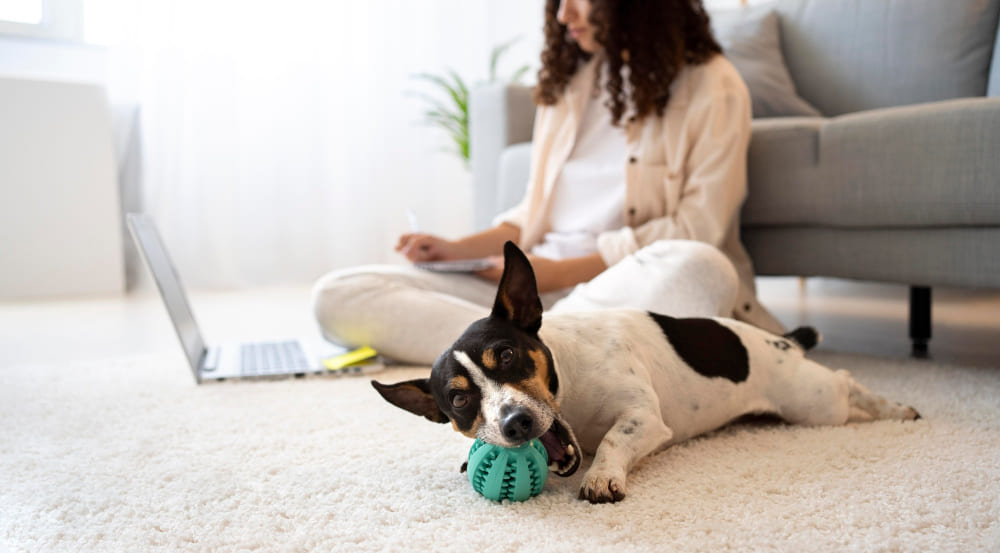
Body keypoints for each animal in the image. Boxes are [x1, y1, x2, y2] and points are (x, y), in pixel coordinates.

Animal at [370, 240, 920, 500]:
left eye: (505, 356)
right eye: (460, 400)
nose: (515, 424)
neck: (569, 391)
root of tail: (781, 342)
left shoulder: (643, 418)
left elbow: (615, 440)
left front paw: (601, 477)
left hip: (812, 403)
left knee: (846, 383)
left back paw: (896, 407)